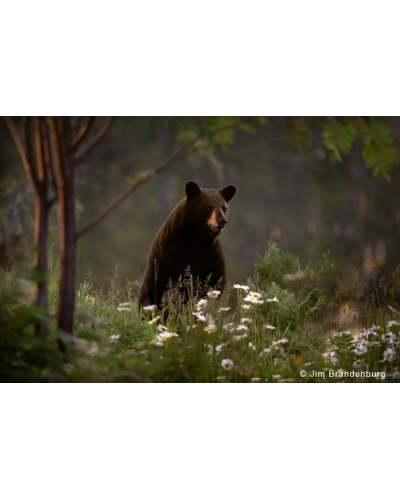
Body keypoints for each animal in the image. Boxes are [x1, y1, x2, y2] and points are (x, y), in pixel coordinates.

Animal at [139, 180, 236, 308]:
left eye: (224, 208)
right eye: (208, 207)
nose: (222, 221)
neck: (195, 240)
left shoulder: (212, 258)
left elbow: (215, 284)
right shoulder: (167, 256)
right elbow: (158, 285)